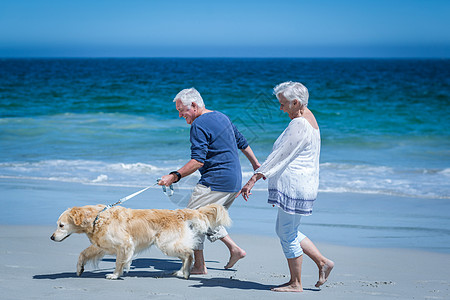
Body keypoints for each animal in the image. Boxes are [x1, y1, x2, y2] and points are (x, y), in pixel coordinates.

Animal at [51, 203, 230, 280]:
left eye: (61, 225)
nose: (51, 238)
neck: (97, 217)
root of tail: (178, 213)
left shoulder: (124, 244)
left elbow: (119, 262)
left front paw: (115, 275)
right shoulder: (102, 245)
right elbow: (83, 253)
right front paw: (79, 269)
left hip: (166, 244)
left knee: (189, 253)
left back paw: (185, 273)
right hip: (170, 244)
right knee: (186, 254)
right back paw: (181, 272)